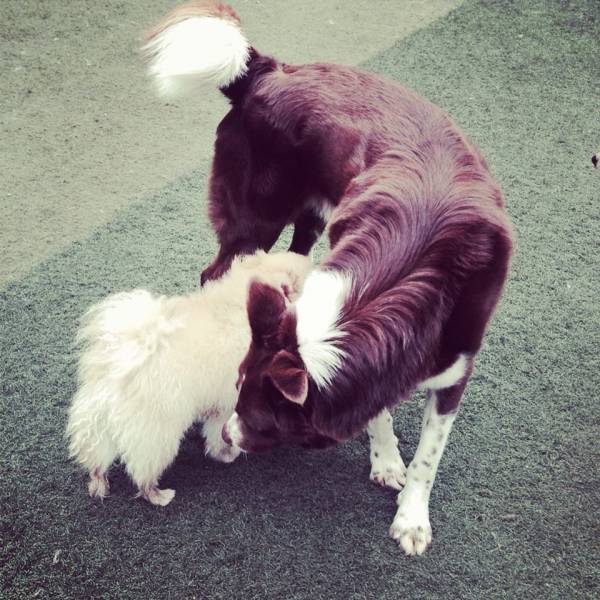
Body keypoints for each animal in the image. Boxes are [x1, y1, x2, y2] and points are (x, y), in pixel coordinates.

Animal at [66, 252, 312, 506]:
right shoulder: (230, 401)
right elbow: (219, 432)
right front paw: (227, 453)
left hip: (95, 421)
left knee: (96, 459)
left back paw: (98, 483)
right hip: (156, 430)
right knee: (143, 472)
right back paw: (159, 496)